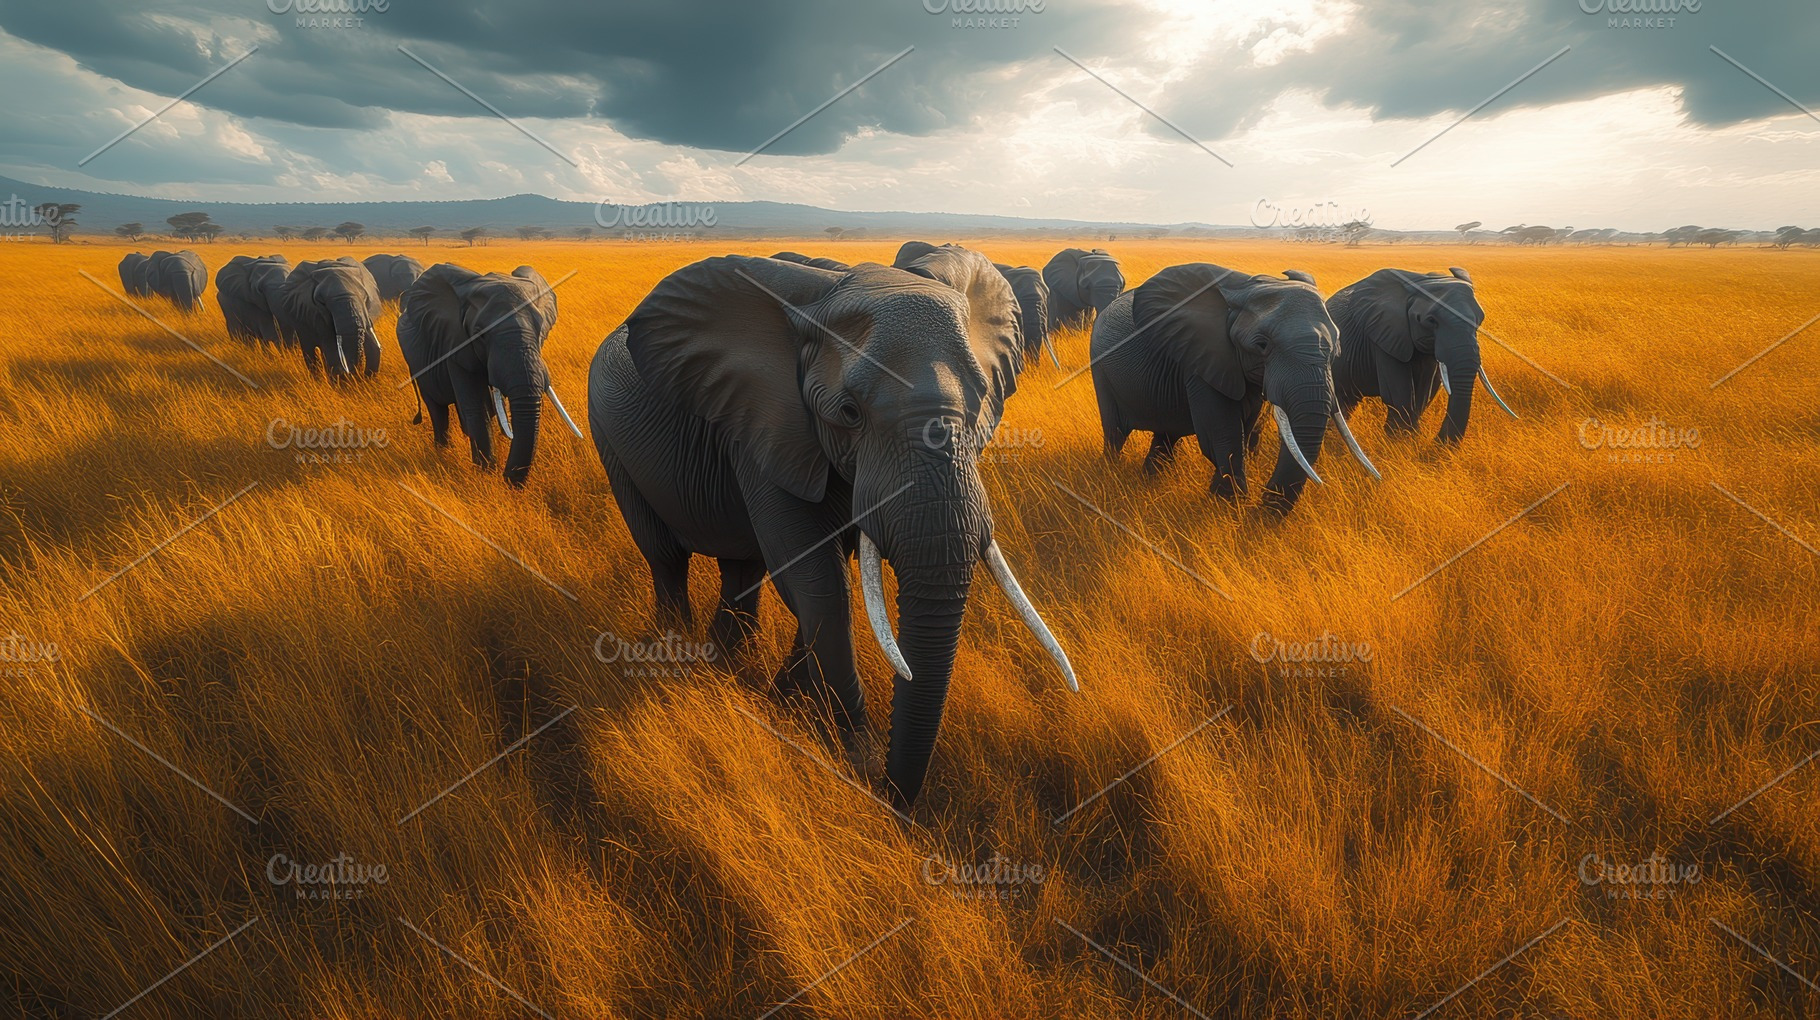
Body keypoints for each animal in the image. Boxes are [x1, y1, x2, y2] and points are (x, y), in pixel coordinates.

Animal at [397, 262, 582, 487]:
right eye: (480, 334)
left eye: (540, 327)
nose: (509, 481)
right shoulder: (454, 343)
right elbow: (476, 408)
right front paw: (486, 474)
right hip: (416, 363)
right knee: (437, 409)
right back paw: (442, 452)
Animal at [587, 249, 1078, 809]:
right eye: (849, 412)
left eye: (979, 403)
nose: (896, 801)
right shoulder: (770, 425)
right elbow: (817, 584)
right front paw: (856, 758)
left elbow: (820, 581)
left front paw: (782, 703)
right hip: (608, 436)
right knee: (666, 557)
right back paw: (680, 652)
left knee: (741, 569)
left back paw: (727, 661)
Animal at [1090, 264, 1380, 518]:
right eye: (1262, 345)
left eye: (1336, 349)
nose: (1262, 506)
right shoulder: (1203, 359)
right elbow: (1220, 432)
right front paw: (1229, 504)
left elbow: (1245, 425)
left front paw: (1225, 500)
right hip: (1100, 367)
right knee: (1115, 432)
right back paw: (1110, 474)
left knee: (1165, 436)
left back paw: (1150, 479)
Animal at [1327, 267, 1515, 445]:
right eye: (1430, 321)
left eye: (1480, 319)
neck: (1420, 282)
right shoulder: (1384, 336)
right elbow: (1399, 393)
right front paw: (1403, 441)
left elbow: (1424, 389)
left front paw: (1410, 439)